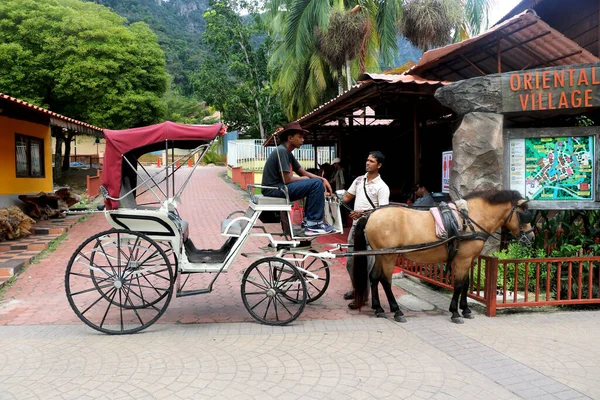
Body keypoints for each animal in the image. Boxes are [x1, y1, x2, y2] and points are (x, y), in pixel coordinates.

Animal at [352, 189, 536, 324]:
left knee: (374, 277)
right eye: (524, 215)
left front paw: (466, 309)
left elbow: (466, 284)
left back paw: (379, 308)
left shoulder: (468, 260)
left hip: (380, 254)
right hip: (389, 256)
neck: (470, 220)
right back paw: (397, 311)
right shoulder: (462, 260)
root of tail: (370, 215)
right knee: (385, 280)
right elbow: (459, 284)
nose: (532, 237)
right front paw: (455, 312)